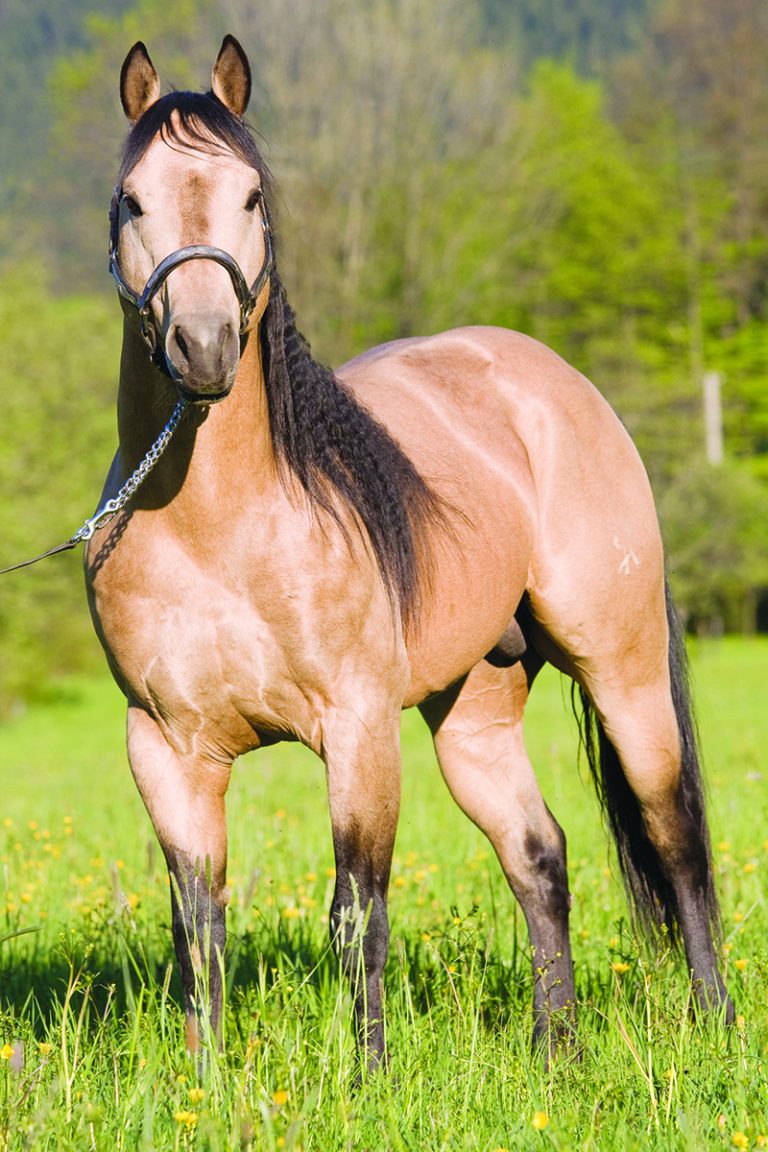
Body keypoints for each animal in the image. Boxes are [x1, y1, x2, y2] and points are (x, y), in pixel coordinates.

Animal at [86, 35, 733, 1068]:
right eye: (133, 200)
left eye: (253, 196)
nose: (203, 345)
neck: (217, 528)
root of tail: (554, 380)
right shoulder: (167, 747)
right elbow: (199, 923)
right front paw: (205, 1080)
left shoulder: (356, 731)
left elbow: (358, 913)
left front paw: (369, 1077)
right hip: (473, 711)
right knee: (538, 854)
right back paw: (556, 1050)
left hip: (622, 671)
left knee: (674, 839)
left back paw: (714, 1024)